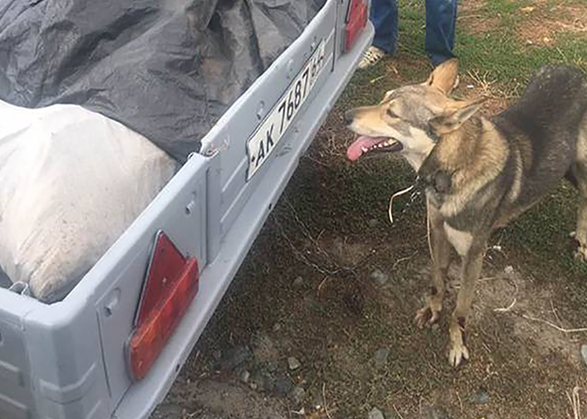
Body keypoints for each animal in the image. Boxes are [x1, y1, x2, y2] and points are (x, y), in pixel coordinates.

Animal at [344, 59, 587, 368]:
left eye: (392, 113)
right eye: (382, 99)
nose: (345, 115)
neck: (451, 170)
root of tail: (573, 68)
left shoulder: (474, 254)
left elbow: (460, 308)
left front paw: (456, 343)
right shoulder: (436, 233)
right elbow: (437, 281)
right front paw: (432, 311)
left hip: (580, 168)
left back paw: (581, 241)